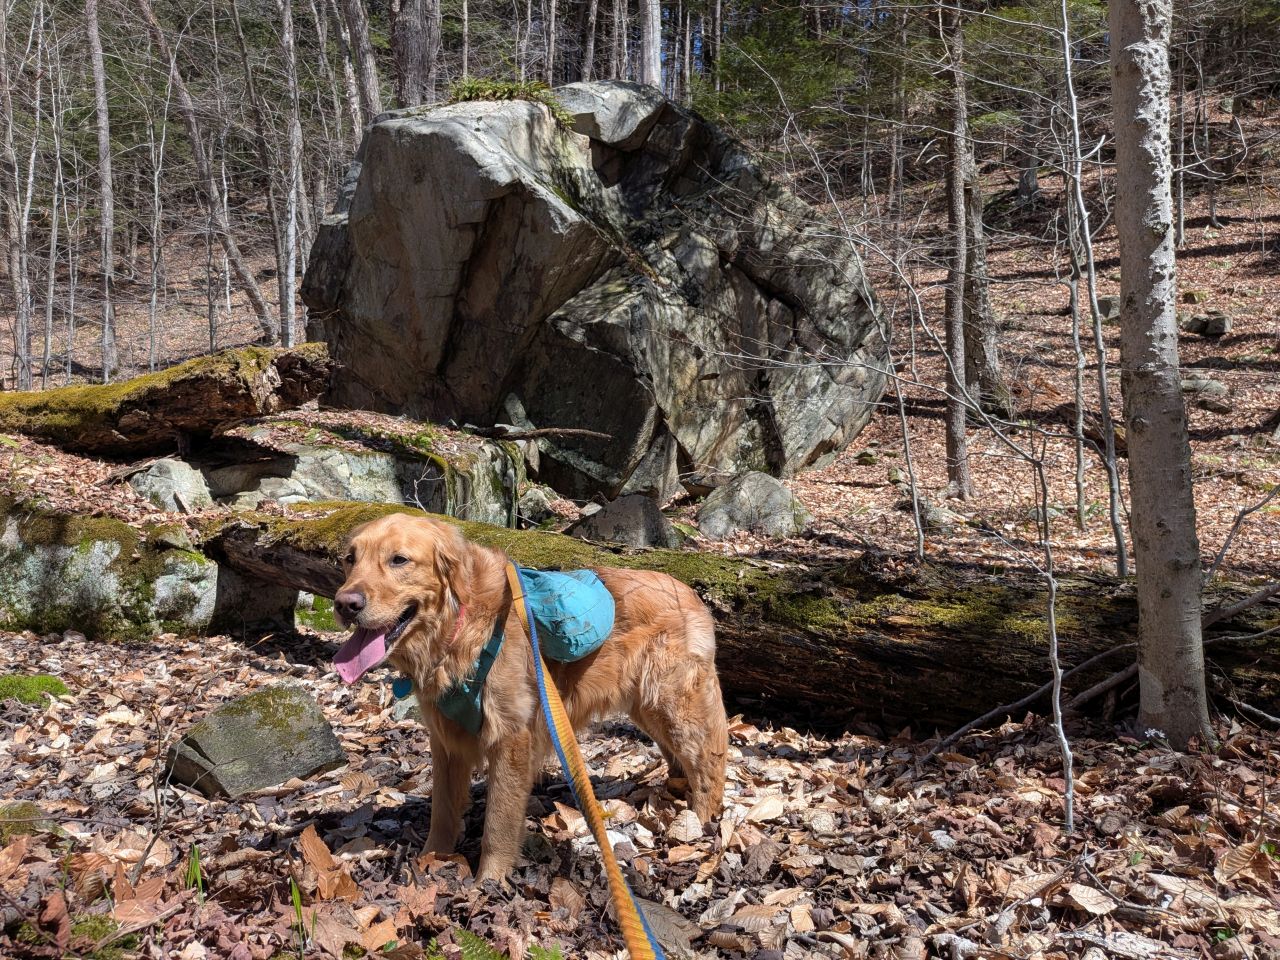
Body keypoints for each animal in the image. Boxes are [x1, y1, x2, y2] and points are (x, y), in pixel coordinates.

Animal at [331, 513, 728, 882]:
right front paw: (432, 859)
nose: (344, 603)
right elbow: (442, 810)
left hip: (673, 705)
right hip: (646, 707)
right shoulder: (445, 741)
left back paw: (700, 822)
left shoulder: (511, 737)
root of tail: (689, 591)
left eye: (399, 560)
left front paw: (488, 882)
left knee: (708, 762)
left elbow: (498, 821)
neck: (458, 627)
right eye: (350, 558)